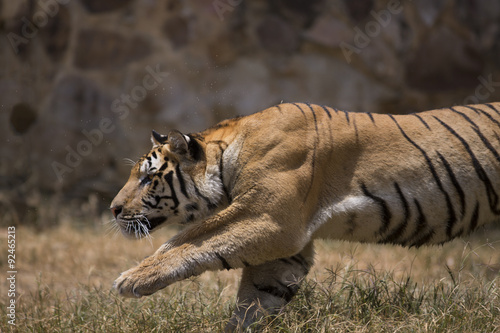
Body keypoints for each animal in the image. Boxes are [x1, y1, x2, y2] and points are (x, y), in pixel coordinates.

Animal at [112, 101, 500, 330]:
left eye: (147, 177)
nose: (113, 209)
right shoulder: (284, 244)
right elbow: (257, 297)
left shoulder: (269, 218)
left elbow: (188, 242)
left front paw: (131, 279)